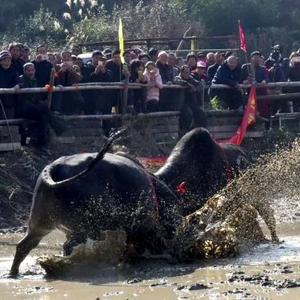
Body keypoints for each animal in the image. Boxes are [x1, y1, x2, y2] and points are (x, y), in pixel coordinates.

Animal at [10, 131, 182, 276]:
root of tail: (53, 169)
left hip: (40, 224)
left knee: (24, 246)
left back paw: (14, 273)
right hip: (86, 227)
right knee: (68, 246)